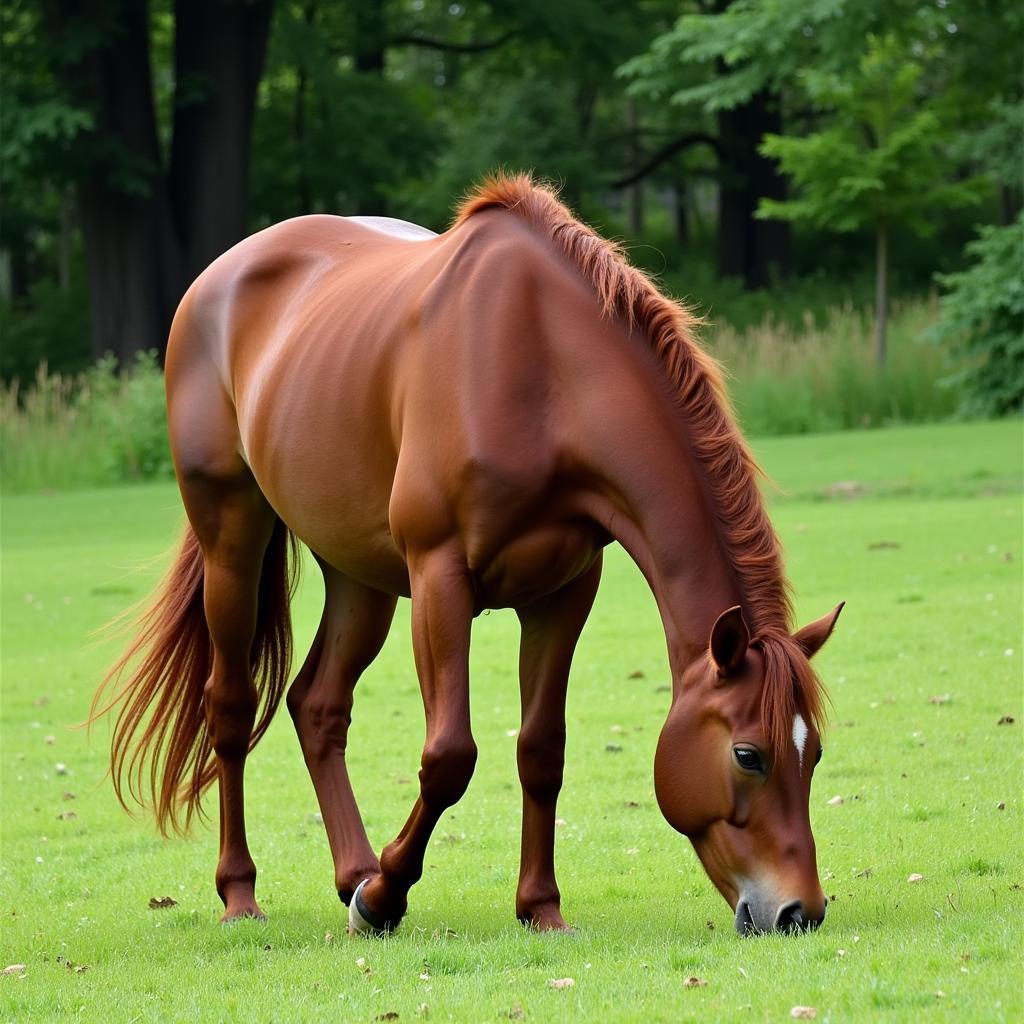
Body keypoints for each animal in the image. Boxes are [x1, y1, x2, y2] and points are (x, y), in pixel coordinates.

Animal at [96, 174, 843, 937]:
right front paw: (384, 897)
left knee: (318, 705)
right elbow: (449, 756)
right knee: (232, 707)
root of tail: (217, 278)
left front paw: (540, 907)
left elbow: (542, 751)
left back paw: (352, 871)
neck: (544, 368)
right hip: (233, 540)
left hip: (360, 578)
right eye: (748, 755)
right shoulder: (440, 578)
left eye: (813, 751)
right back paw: (243, 893)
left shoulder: (564, 593)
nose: (798, 911)